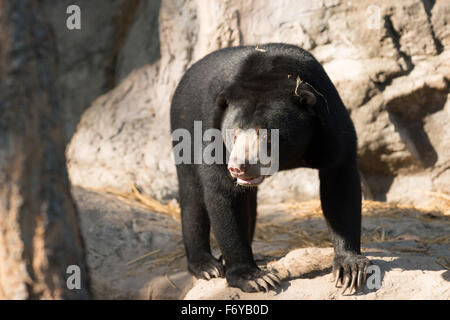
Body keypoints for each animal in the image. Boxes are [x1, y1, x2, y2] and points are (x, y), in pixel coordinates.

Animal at [169, 43, 370, 294]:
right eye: (234, 133)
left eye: (266, 135)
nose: (238, 167)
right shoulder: (212, 131)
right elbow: (223, 192)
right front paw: (255, 277)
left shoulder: (330, 127)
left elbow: (339, 183)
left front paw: (349, 269)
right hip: (184, 124)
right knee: (193, 195)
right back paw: (207, 265)